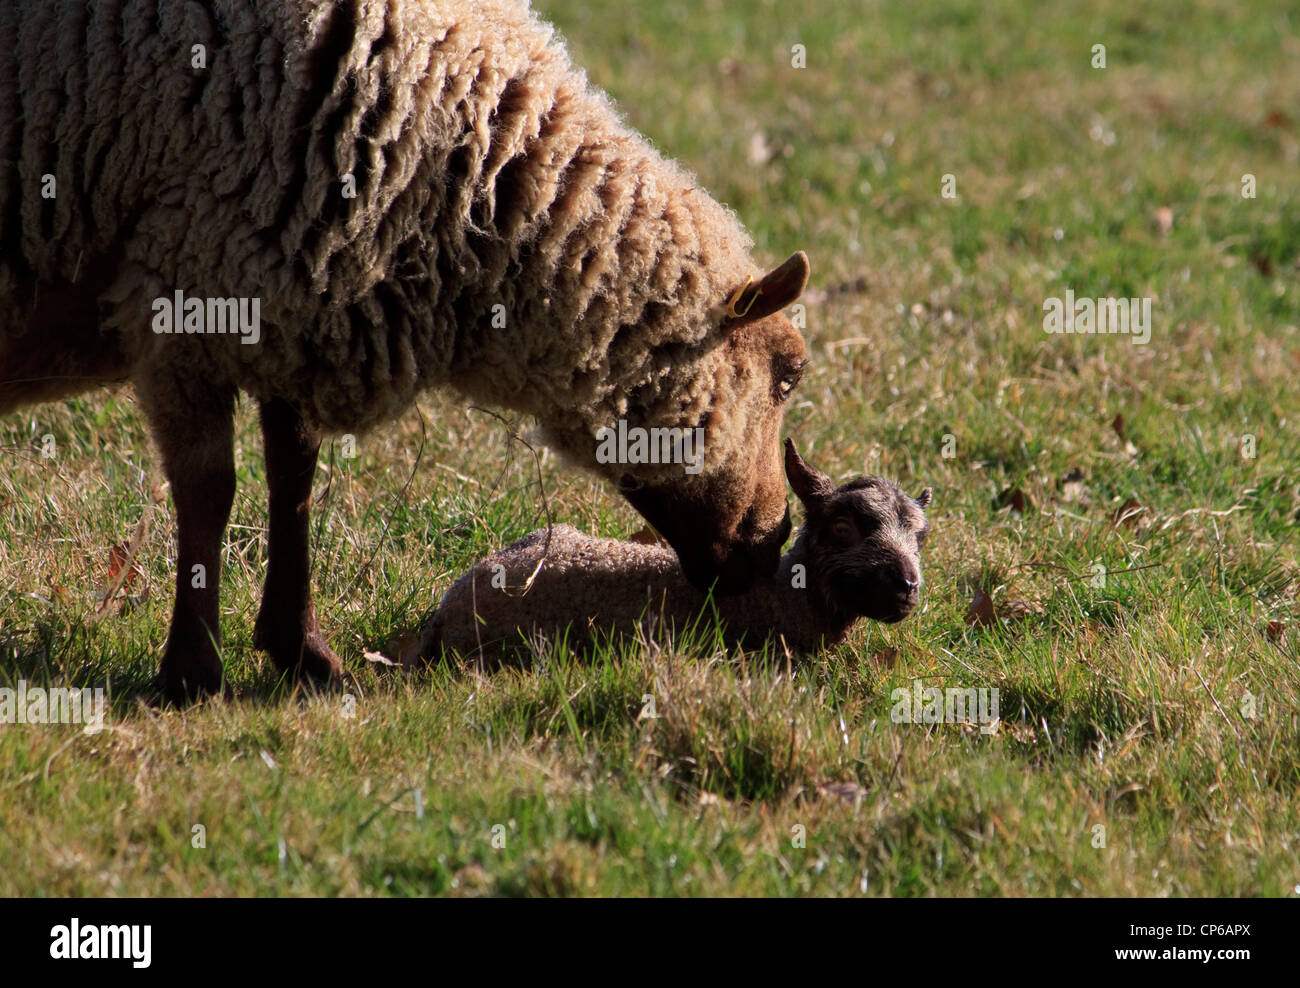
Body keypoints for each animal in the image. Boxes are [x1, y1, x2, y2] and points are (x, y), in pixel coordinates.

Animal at [0, 0, 806, 702]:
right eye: (789, 378)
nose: (774, 543)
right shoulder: (182, 290)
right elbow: (210, 491)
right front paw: (193, 673)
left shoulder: (292, 298)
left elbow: (293, 479)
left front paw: (301, 653)